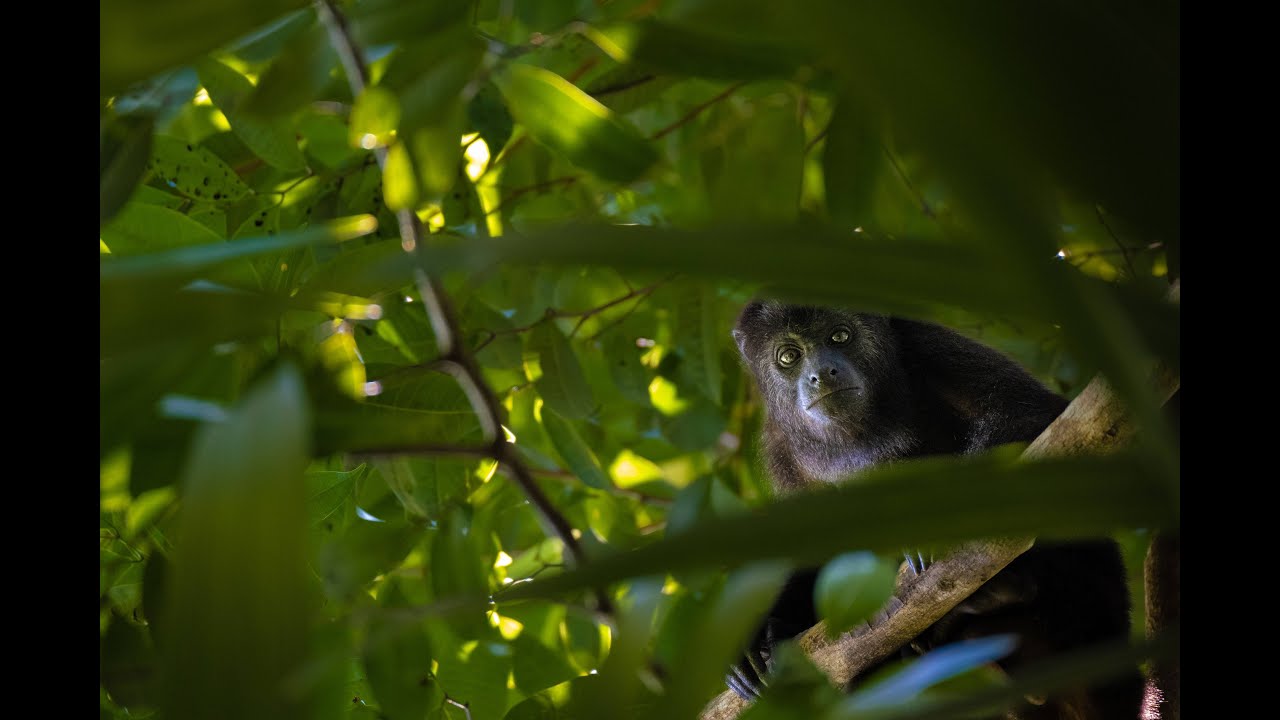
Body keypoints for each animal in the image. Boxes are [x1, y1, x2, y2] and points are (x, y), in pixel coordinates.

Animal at [726, 299, 1143, 719]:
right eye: (788, 357)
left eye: (840, 335)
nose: (821, 374)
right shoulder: (779, 447)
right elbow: (810, 546)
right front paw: (753, 641)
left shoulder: (928, 342)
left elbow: (1029, 414)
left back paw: (1004, 591)